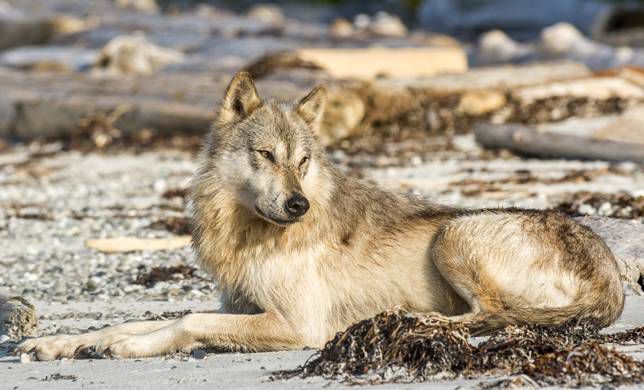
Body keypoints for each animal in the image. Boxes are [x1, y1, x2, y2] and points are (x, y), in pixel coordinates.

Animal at [18, 71, 624, 360]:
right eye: (267, 156)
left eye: (303, 161)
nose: (298, 204)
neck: (245, 234)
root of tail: (613, 275)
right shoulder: (236, 305)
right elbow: (139, 320)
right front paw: (64, 343)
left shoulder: (296, 324)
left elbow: (186, 322)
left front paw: (122, 348)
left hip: (454, 234)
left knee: (494, 316)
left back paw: (417, 320)